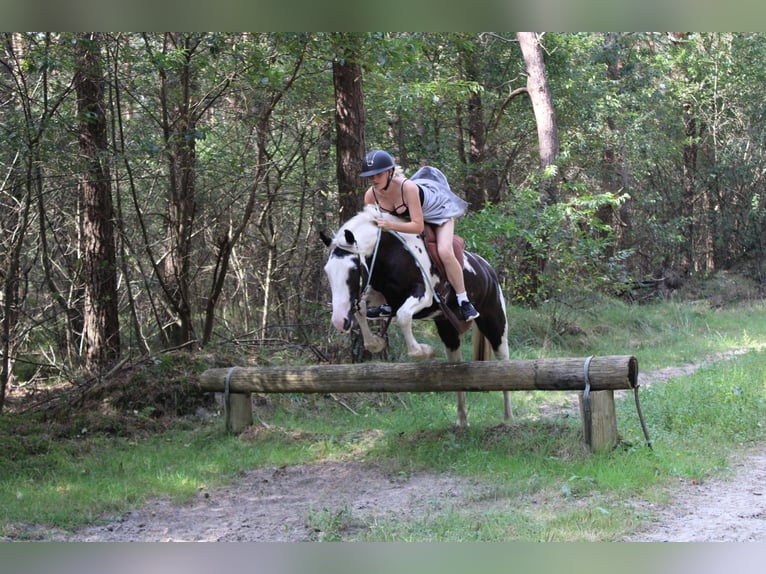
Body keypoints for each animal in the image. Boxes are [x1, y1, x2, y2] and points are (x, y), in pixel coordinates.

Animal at [320, 206, 512, 428]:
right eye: (327, 271)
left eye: (352, 270)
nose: (339, 321)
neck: (388, 253)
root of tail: (488, 269)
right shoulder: (378, 294)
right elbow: (361, 310)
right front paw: (376, 343)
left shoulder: (424, 295)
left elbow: (403, 316)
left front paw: (424, 352)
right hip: (448, 329)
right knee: (456, 366)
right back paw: (462, 420)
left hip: (495, 323)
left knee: (504, 361)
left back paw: (509, 418)